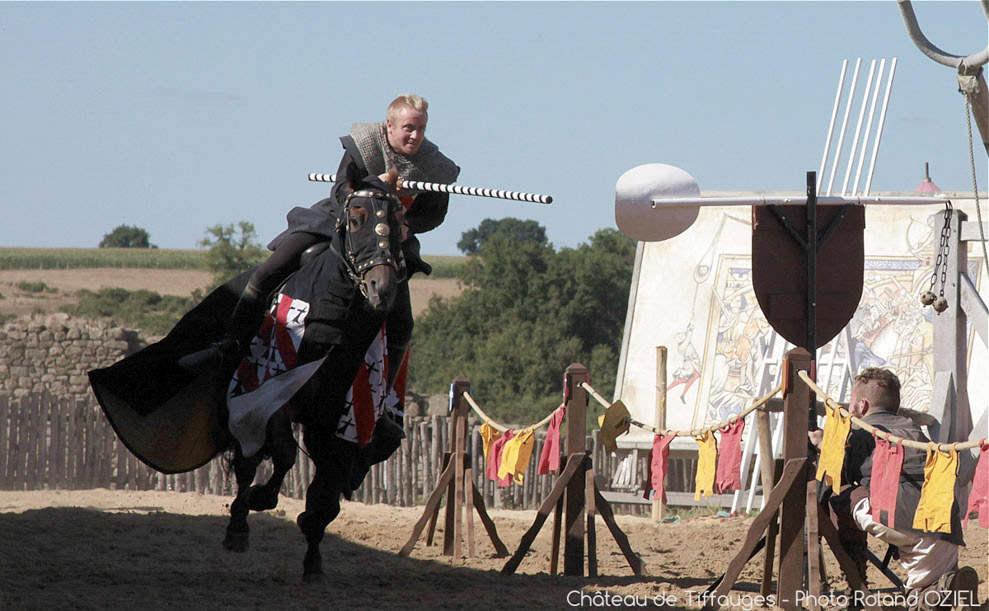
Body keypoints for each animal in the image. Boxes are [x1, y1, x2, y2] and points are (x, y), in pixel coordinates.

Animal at [89, 186, 406, 584]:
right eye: (355, 218)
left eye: (399, 223)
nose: (383, 287)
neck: (329, 323)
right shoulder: (268, 394)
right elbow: (282, 455)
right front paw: (257, 504)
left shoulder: (337, 420)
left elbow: (325, 495)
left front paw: (313, 557)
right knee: (249, 461)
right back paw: (238, 522)